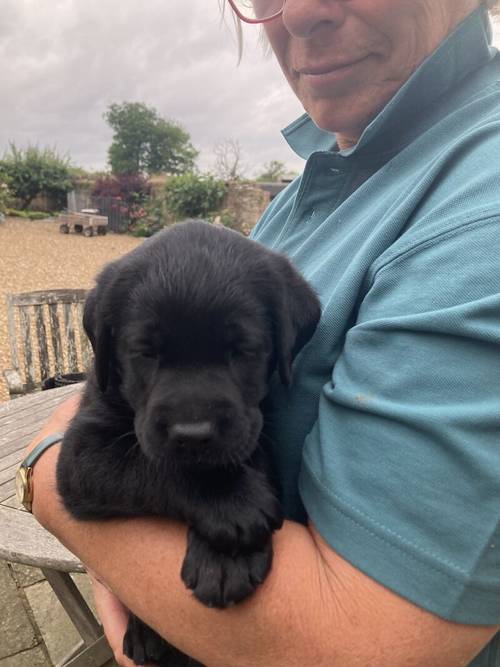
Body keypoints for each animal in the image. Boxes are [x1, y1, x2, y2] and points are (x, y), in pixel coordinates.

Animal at [55, 222, 320, 664]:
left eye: (242, 350)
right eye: (145, 351)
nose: (193, 434)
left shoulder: (253, 422)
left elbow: (250, 457)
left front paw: (226, 558)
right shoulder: (80, 453)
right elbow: (151, 464)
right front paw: (232, 506)